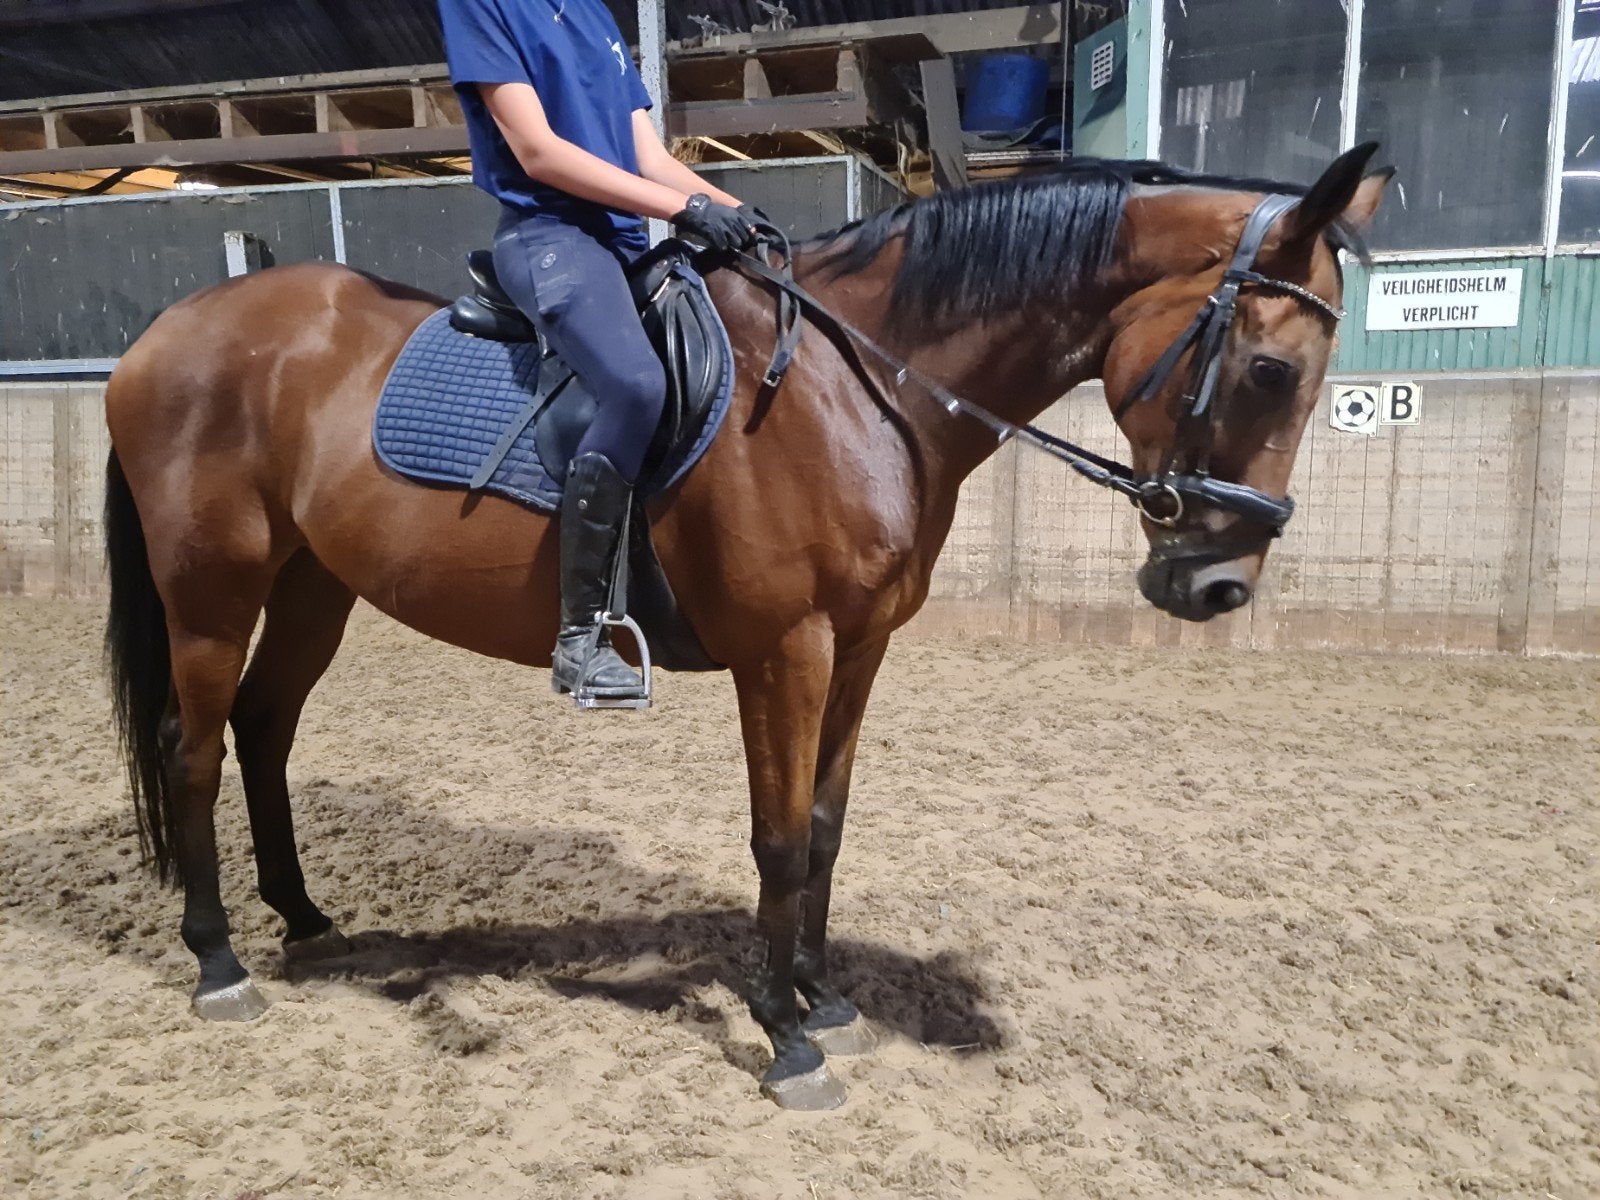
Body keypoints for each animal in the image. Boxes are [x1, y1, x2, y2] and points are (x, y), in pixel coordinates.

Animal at [103, 145, 1389, 1109]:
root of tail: (169, 329)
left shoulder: (860, 647)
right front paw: (784, 1035)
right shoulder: (788, 651)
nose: (1219, 588)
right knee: (194, 749)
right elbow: (775, 839)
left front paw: (824, 996)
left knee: (265, 729)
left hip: (313, 584)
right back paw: (218, 958)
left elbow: (823, 828)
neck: (861, 384)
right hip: (211, 588)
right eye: (1270, 372)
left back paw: (306, 918)